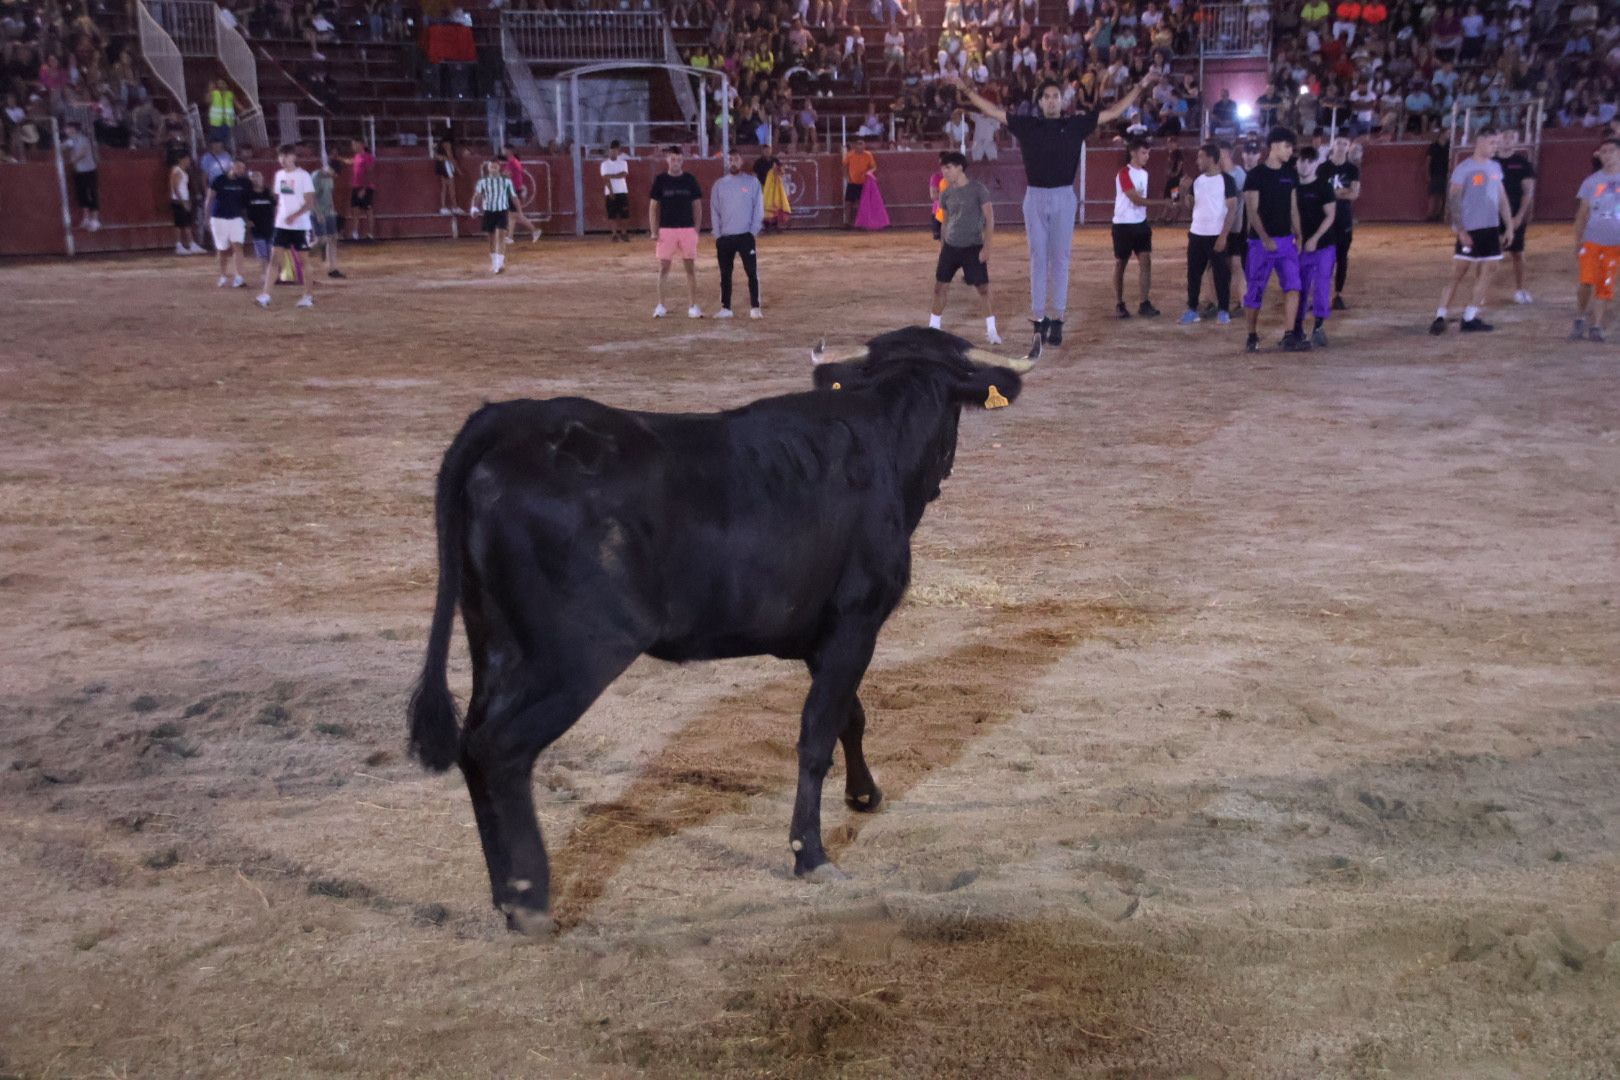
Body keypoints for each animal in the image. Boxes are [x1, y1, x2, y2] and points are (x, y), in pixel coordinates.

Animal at [408, 325, 1036, 932]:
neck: (881, 434)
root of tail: (510, 419)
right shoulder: (857, 621)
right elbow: (817, 734)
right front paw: (811, 853)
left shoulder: (822, 635)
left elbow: (849, 718)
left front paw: (863, 793)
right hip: (575, 655)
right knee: (498, 749)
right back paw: (530, 900)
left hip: (496, 644)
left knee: (472, 746)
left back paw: (504, 893)